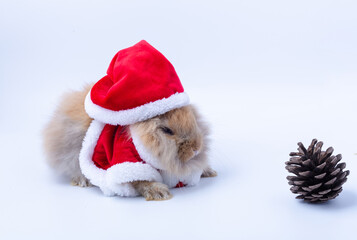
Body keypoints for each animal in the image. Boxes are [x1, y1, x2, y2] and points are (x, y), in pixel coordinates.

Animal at [41, 84, 214, 201]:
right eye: (167, 130)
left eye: (192, 119)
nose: (196, 148)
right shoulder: (126, 159)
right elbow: (142, 181)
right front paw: (161, 192)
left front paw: (208, 171)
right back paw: (83, 181)